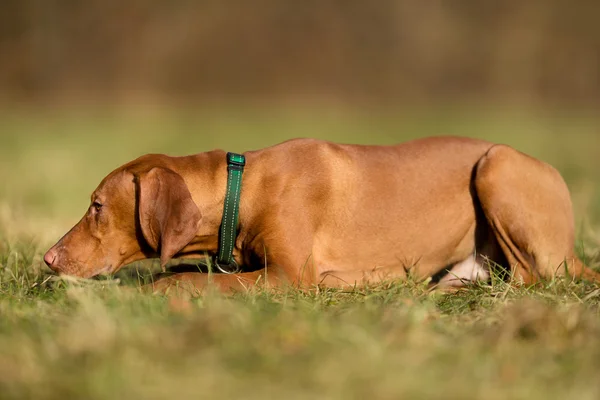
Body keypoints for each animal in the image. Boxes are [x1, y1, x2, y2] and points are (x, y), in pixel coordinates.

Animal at [43, 138, 600, 294]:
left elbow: (186, 280)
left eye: (96, 206)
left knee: (531, 277)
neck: (242, 187)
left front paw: (147, 292)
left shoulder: (289, 277)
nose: (47, 260)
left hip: (495, 164)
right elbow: (188, 268)